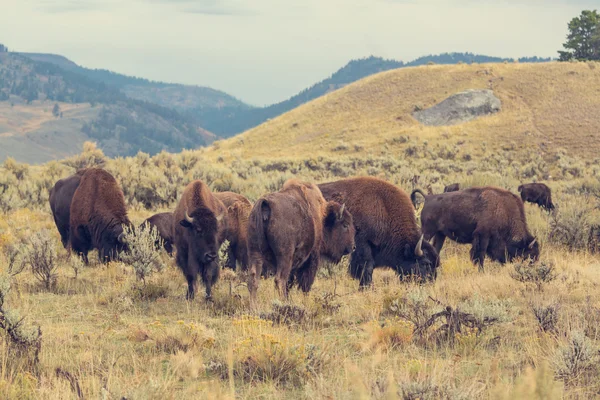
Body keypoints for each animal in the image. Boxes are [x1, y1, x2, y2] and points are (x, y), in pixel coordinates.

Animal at [412, 187, 540, 268]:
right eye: (530, 254)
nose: (532, 267)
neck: (502, 209)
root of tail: (427, 198)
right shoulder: (483, 236)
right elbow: (480, 255)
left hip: (440, 234)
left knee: (436, 249)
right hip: (428, 231)